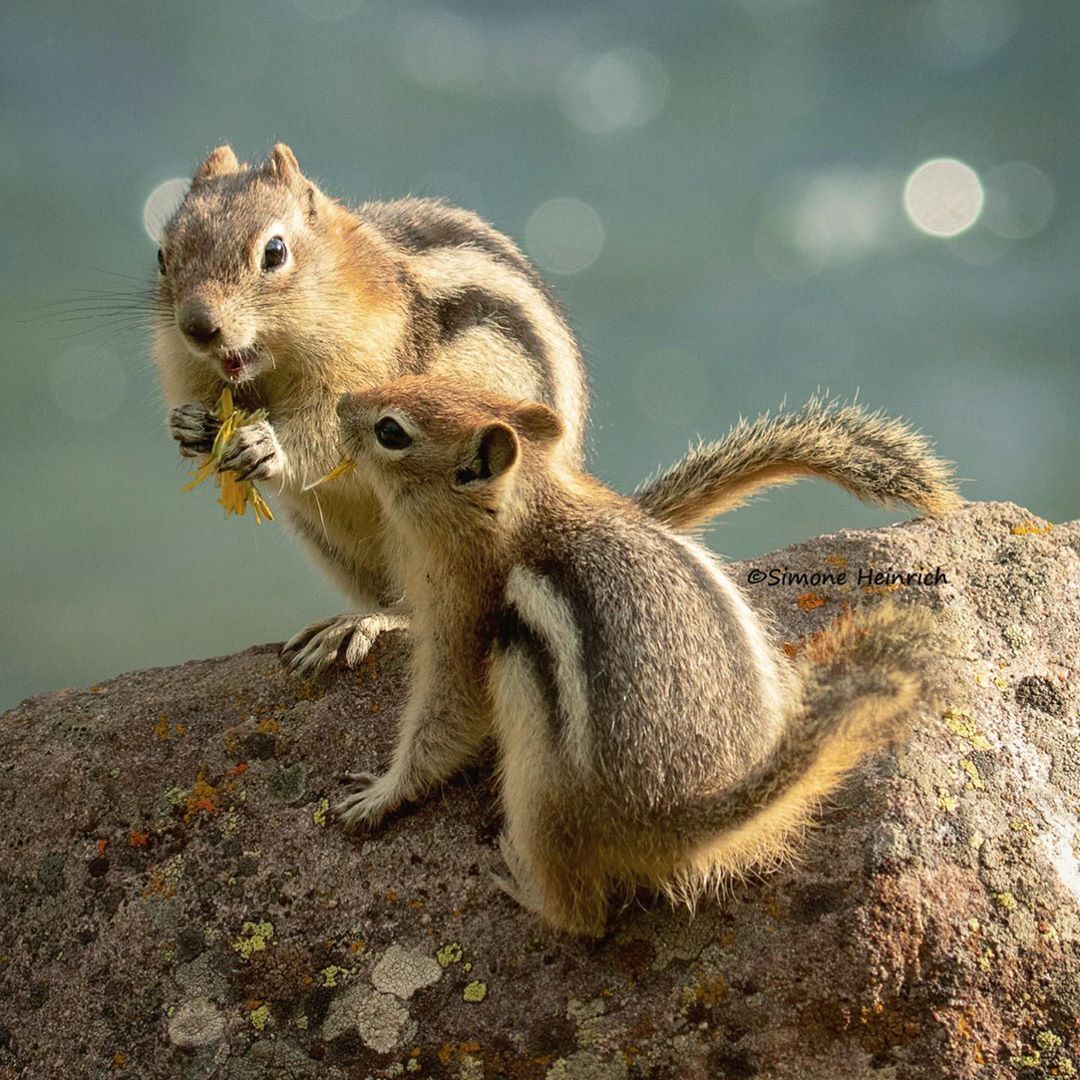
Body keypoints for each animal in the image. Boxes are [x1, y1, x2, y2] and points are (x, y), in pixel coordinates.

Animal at [154, 140, 963, 669]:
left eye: (275, 253)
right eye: (162, 256)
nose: (199, 325)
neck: (271, 368)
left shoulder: (377, 370)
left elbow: (332, 425)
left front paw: (268, 443)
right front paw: (189, 426)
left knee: (416, 609)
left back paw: (367, 626)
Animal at [332, 378, 941, 937]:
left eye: (391, 431)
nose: (340, 403)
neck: (526, 508)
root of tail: (682, 814)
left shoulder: (461, 620)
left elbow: (446, 720)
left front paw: (379, 795)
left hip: (537, 795)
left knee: (583, 917)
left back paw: (518, 882)